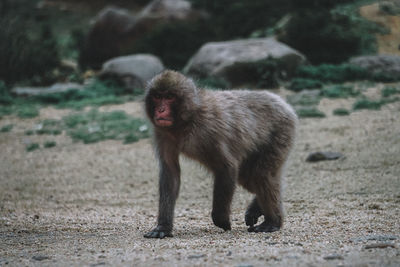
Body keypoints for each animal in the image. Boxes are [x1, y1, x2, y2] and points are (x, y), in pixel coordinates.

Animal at [144, 69, 296, 239]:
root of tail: (281, 102)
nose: (160, 110)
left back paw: (273, 222)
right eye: (158, 97)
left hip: (280, 132)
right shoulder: (162, 133)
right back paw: (257, 208)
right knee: (250, 178)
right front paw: (163, 227)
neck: (187, 120)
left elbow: (227, 167)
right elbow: (170, 173)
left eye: (170, 97)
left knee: (261, 175)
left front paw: (221, 219)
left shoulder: (209, 130)